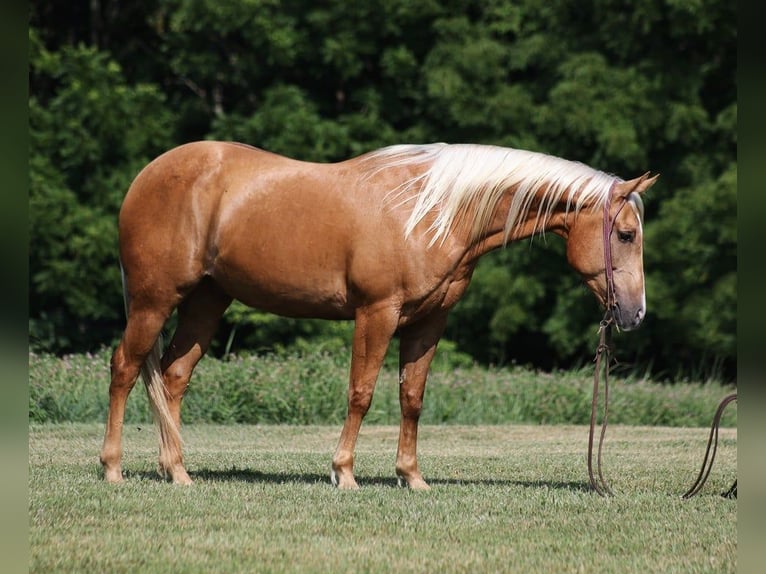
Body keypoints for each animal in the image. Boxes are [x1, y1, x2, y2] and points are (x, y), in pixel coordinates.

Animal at [99, 141, 657, 489]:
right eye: (626, 234)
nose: (634, 315)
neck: (432, 211)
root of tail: (147, 176)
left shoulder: (429, 322)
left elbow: (412, 398)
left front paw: (412, 477)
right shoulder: (377, 313)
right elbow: (362, 393)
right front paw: (343, 473)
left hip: (207, 300)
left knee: (172, 377)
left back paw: (177, 472)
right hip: (155, 299)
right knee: (125, 368)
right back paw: (112, 468)